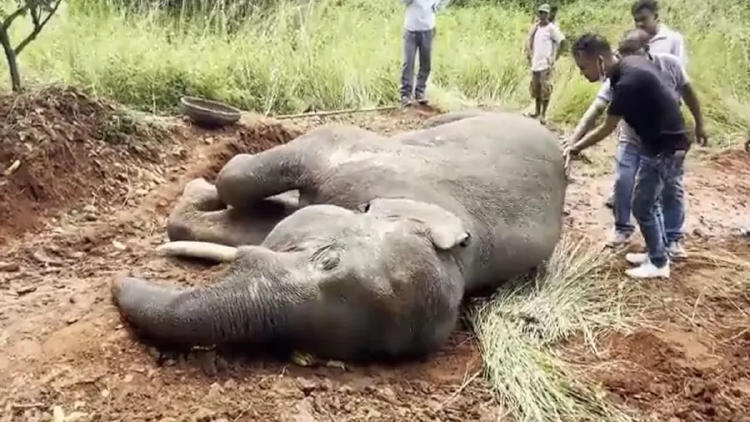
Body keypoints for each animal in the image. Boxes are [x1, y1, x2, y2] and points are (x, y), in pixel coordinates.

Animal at [111, 111, 567, 362]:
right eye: (327, 260)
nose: (117, 283)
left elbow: (264, 223)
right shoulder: (355, 153)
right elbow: (238, 178)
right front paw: (201, 187)